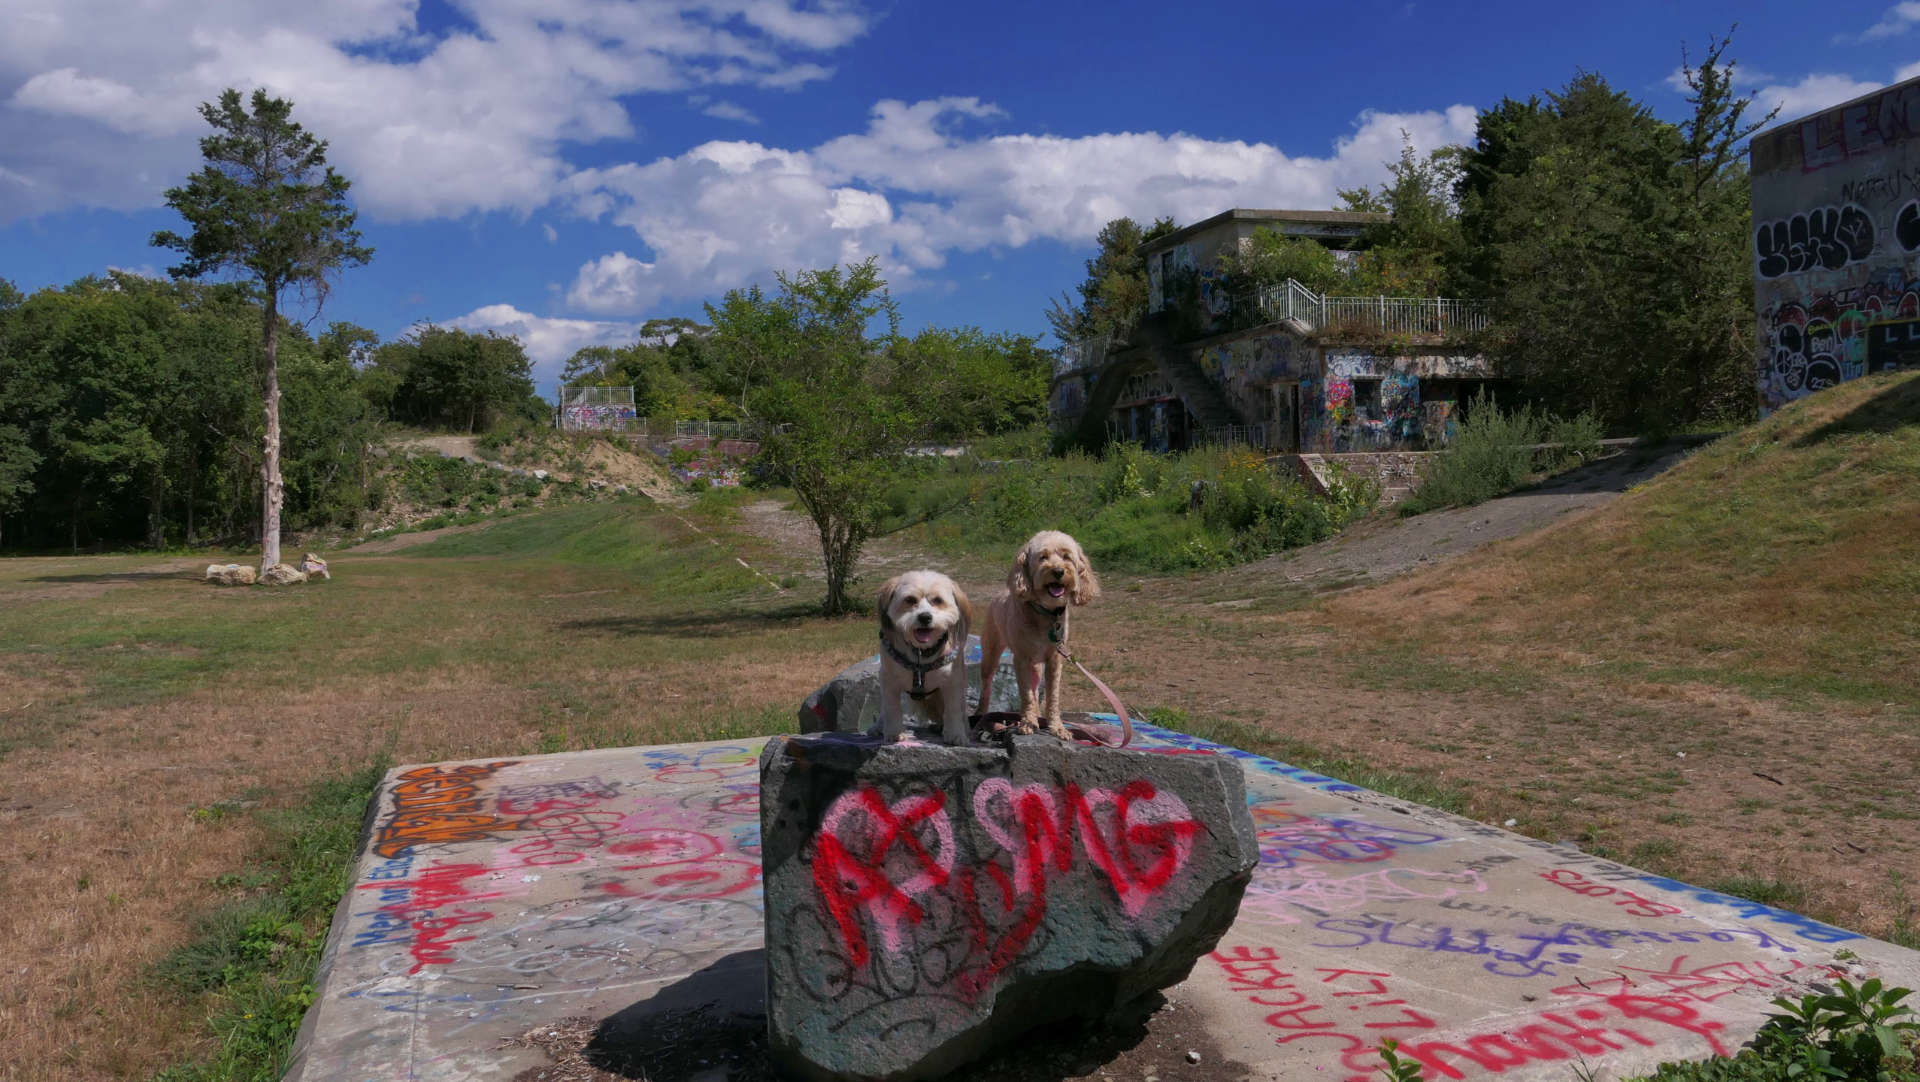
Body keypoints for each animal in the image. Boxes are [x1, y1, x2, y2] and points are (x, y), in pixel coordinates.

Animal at [879, 567, 975, 744]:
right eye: (910, 599)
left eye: (938, 600)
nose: (924, 617)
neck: (921, 654)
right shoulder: (888, 679)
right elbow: (891, 707)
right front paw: (894, 732)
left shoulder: (953, 680)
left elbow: (953, 709)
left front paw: (956, 734)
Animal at [983, 529, 1105, 740]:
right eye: (1043, 557)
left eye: (1067, 557)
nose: (1058, 571)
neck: (1045, 613)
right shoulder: (1021, 658)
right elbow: (1026, 695)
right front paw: (1027, 724)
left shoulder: (1055, 659)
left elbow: (1052, 696)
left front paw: (1057, 727)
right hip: (991, 653)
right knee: (987, 686)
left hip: (1036, 666)